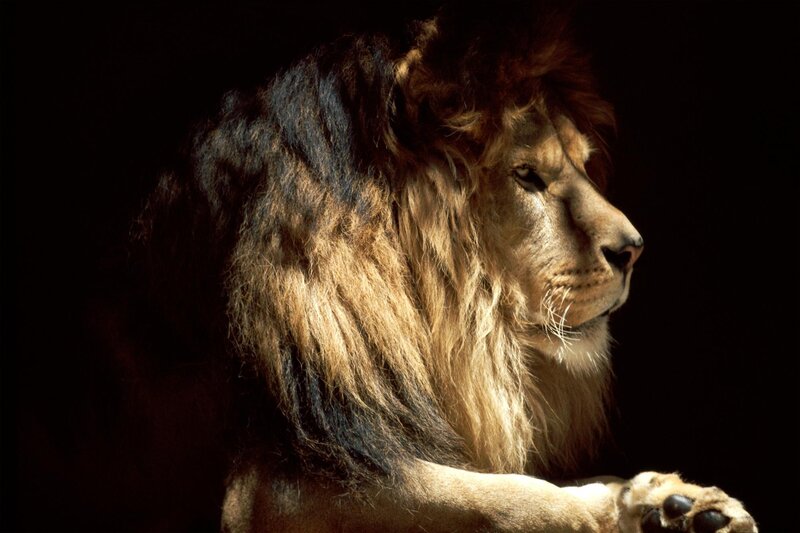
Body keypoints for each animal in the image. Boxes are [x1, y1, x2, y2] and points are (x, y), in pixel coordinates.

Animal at [135, 3, 757, 532]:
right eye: (526, 175)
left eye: (583, 165)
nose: (633, 249)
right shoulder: (265, 487)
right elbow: (505, 494)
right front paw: (618, 511)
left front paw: (669, 503)